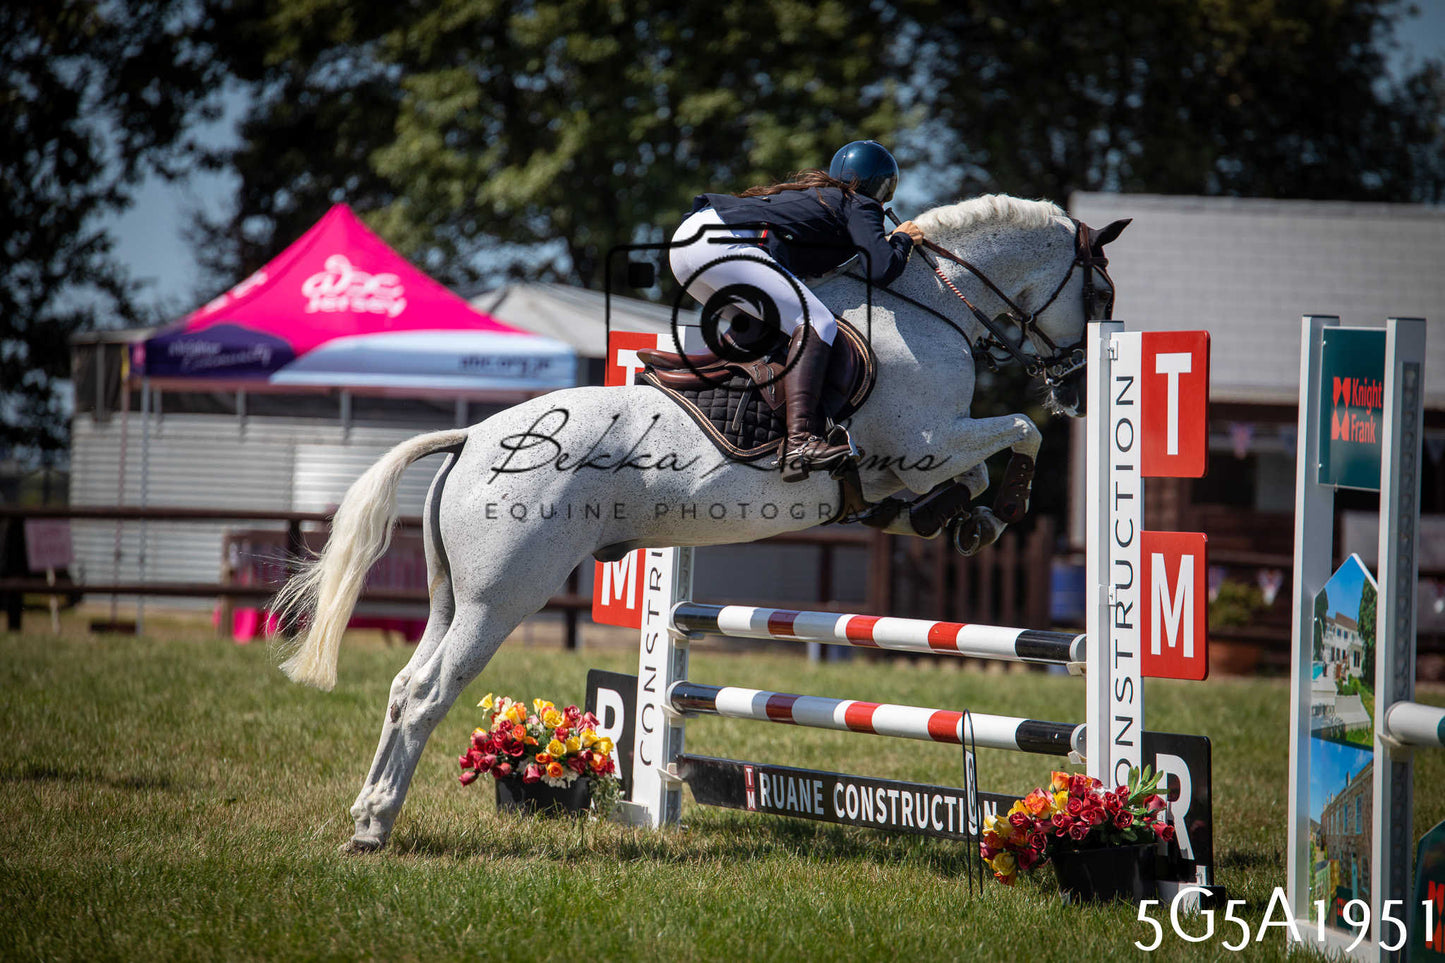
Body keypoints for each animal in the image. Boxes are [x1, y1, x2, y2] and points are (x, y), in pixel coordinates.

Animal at [273, 193, 1128, 853]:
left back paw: (365, 814)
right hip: (499, 599)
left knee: (401, 687)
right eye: (1099, 299)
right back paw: (376, 828)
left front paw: (958, 518)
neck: (933, 306)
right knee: (427, 693)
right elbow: (1019, 429)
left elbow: (972, 468)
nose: (1079, 392)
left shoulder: (917, 456)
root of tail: (472, 437)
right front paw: (999, 508)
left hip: (454, 597)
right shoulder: (925, 441)